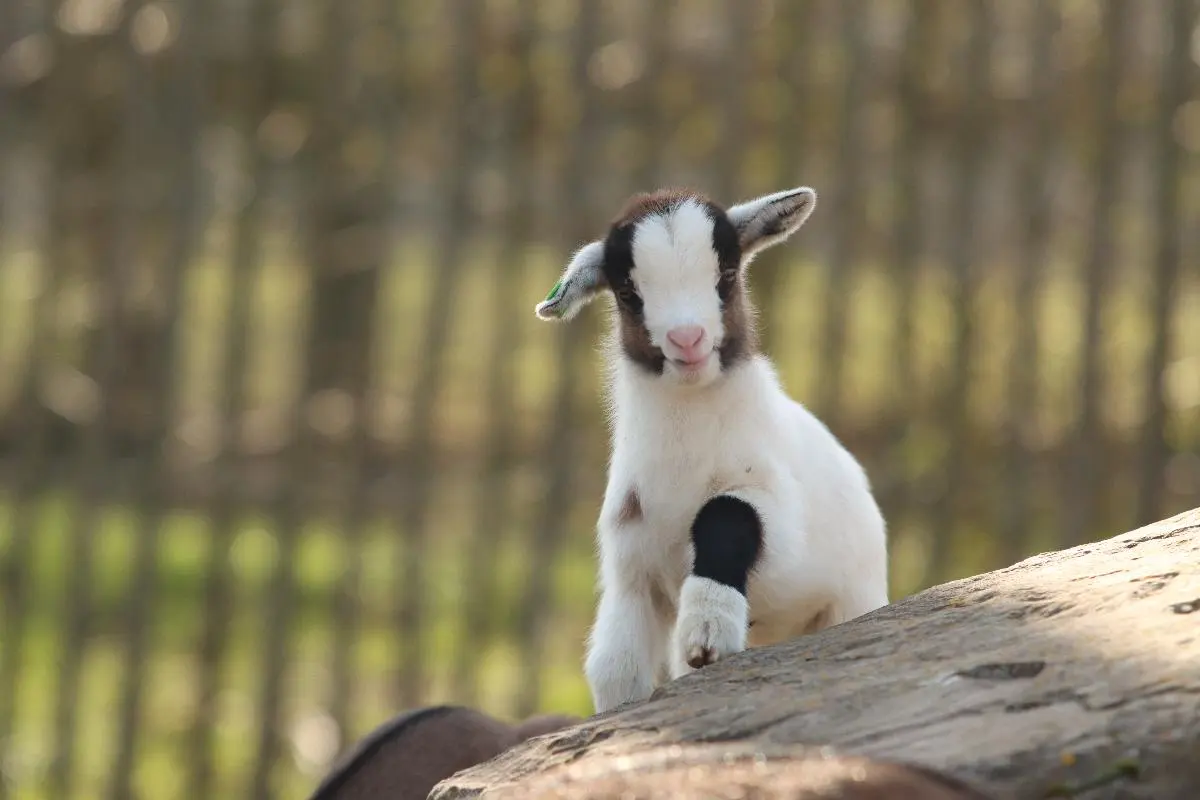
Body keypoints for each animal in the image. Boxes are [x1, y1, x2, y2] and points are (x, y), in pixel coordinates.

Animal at [540, 185, 888, 714]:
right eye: (628, 294)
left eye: (726, 275)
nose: (687, 339)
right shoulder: (631, 566)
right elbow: (616, 667)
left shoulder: (777, 513)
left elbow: (726, 515)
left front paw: (707, 629)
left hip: (852, 599)